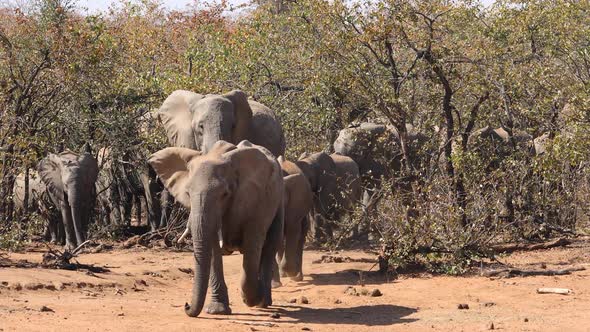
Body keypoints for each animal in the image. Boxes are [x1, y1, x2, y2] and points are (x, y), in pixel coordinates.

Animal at [149, 139, 286, 316]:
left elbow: (253, 244)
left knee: (270, 245)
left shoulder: (257, 200)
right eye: (187, 193)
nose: (186, 305)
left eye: (224, 194)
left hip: (279, 199)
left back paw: (264, 301)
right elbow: (213, 248)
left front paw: (252, 298)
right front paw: (217, 311)